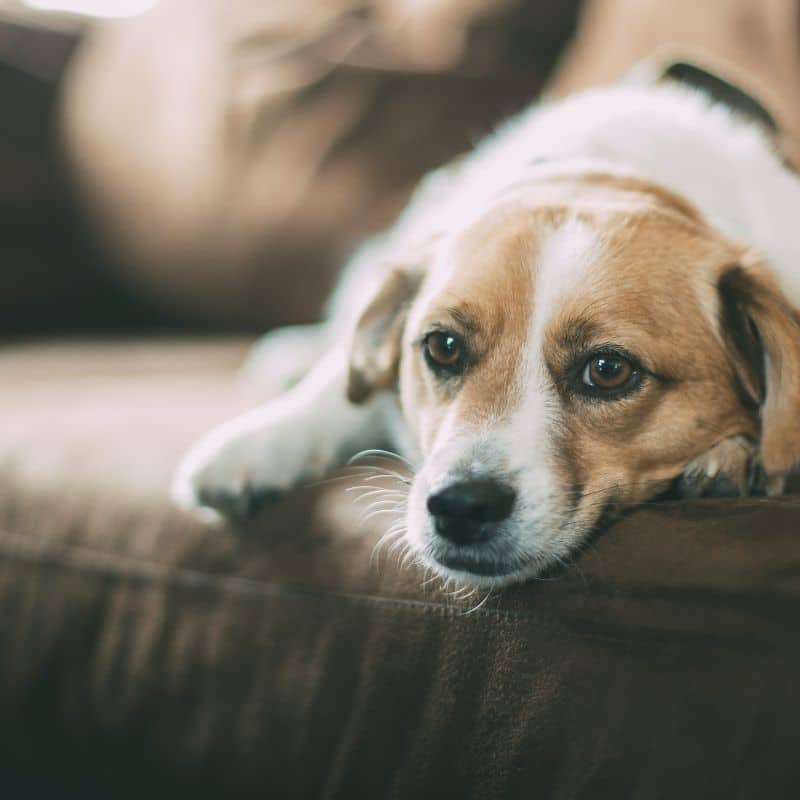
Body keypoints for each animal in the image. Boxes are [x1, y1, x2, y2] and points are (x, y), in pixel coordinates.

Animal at [172, 61, 800, 588]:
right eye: (443, 347)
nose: (460, 506)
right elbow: (335, 389)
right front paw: (257, 444)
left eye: (608, 369)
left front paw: (732, 456)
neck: (618, 174)